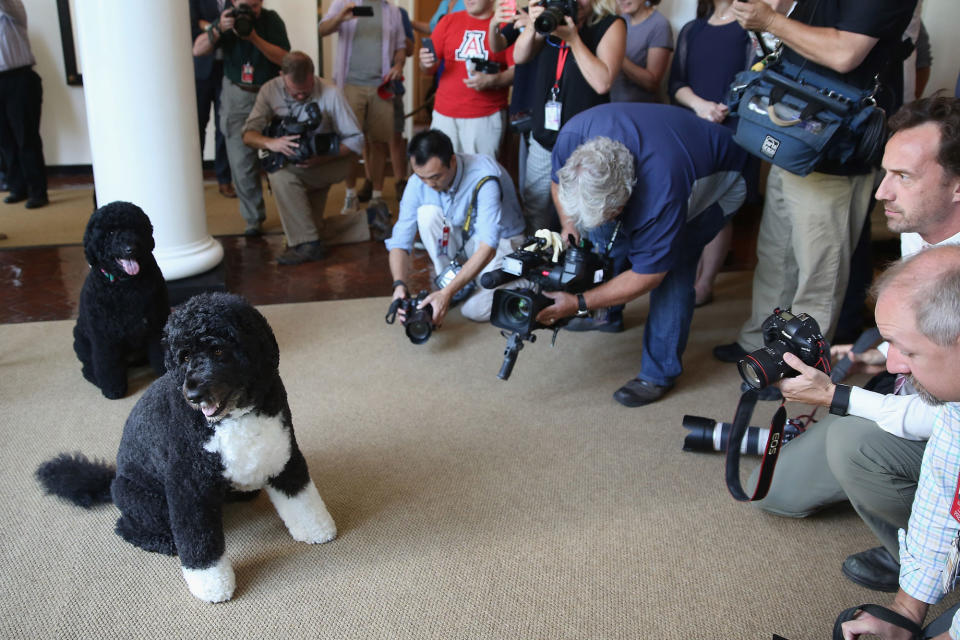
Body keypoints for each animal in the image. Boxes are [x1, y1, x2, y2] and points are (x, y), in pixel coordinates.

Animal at [36, 292, 338, 604]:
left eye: (218, 350)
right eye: (184, 356)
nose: (193, 394)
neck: (233, 417)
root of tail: (112, 479)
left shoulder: (284, 453)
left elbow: (302, 499)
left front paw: (317, 529)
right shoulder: (187, 487)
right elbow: (200, 544)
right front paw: (212, 586)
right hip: (147, 502)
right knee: (126, 527)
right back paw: (165, 541)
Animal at [72, 202, 170, 398]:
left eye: (135, 228)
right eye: (110, 232)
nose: (130, 248)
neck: (125, 285)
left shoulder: (156, 325)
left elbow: (160, 355)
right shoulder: (103, 337)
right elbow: (107, 364)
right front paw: (113, 388)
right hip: (81, 339)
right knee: (88, 366)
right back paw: (94, 377)